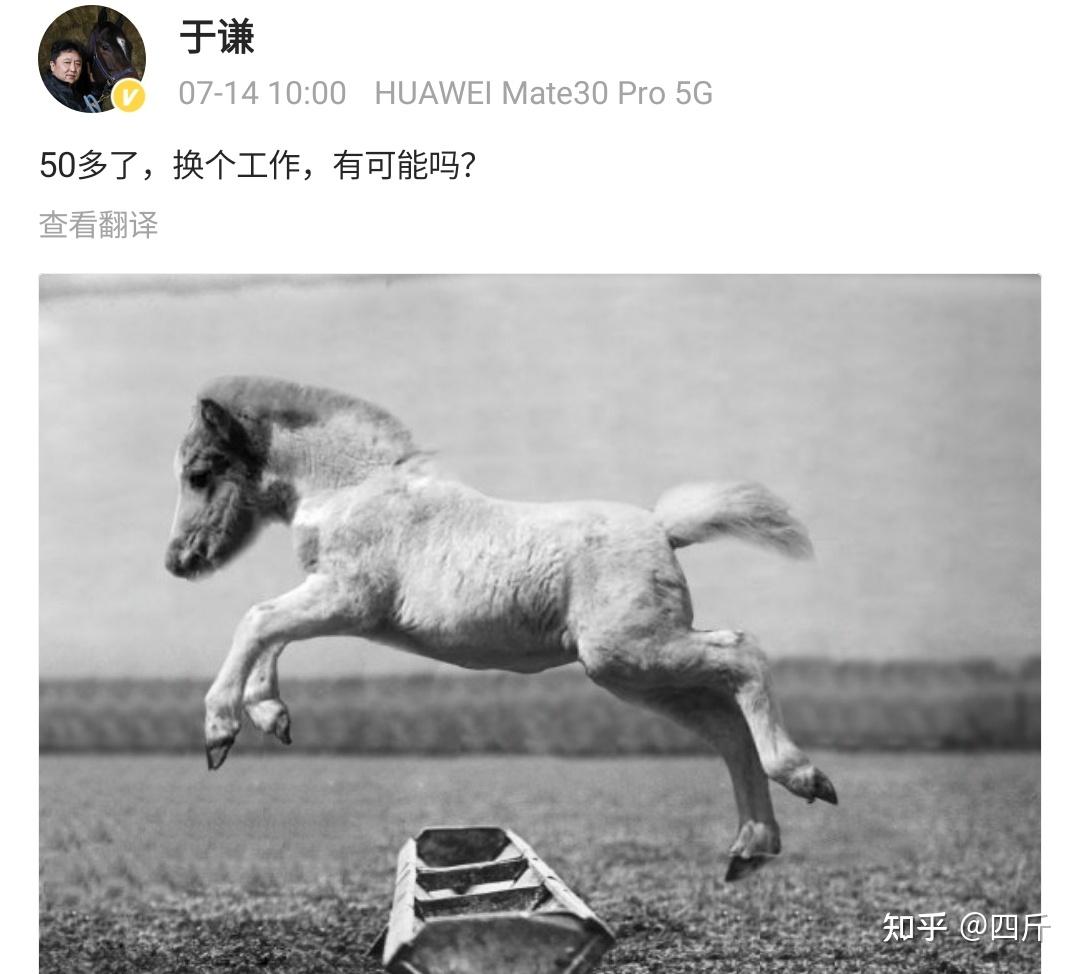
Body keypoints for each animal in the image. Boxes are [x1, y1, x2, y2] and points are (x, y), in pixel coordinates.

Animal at [165, 376, 837, 880]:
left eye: (199, 472)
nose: (178, 561)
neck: (353, 490)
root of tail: (661, 528)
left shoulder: (349, 599)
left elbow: (258, 619)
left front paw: (219, 731)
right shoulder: (333, 597)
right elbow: (270, 630)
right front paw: (270, 714)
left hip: (635, 651)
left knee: (742, 652)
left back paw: (803, 777)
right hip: (633, 674)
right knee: (726, 726)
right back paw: (752, 847)